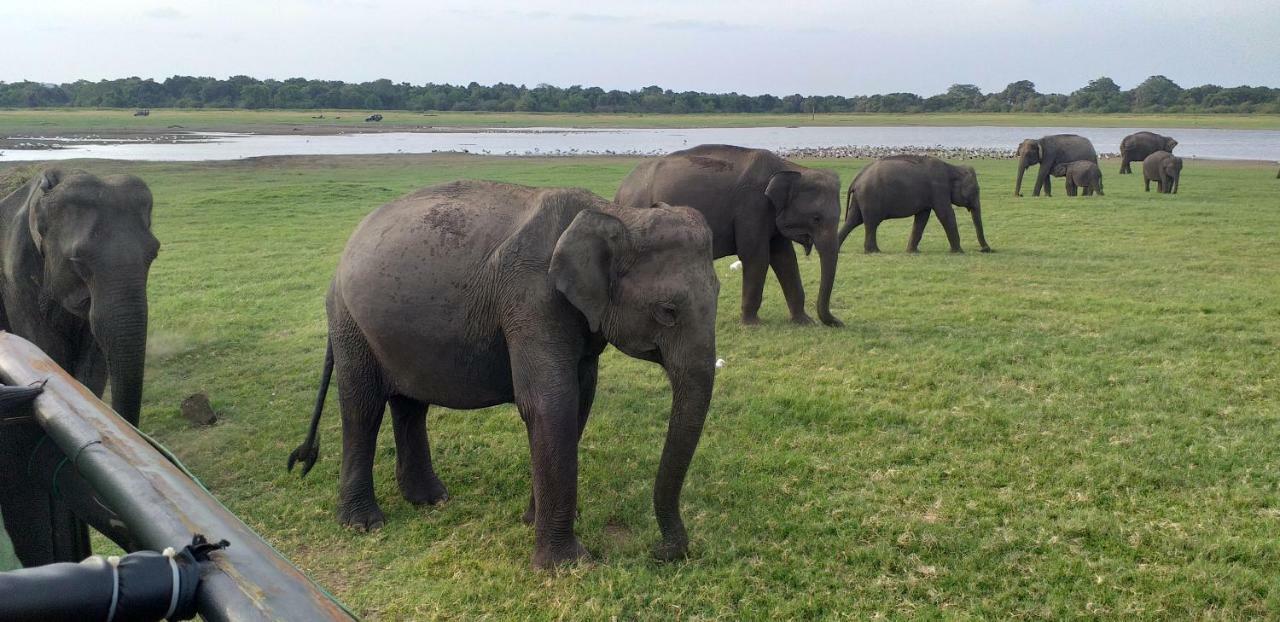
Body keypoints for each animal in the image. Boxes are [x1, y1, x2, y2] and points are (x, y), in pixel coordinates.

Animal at [291, 179, 727, 568]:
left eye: (720, 294)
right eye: (668, 311)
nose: (662, 552)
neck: (615, 214)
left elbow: (580, 401)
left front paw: (531, 521)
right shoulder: (531, 299)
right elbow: (549, 405)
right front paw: (567, 564)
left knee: (410, 404)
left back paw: (430, 500)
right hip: (349, 322)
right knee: (362, 406)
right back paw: (363, 524)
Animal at [616, 143, 844, 327]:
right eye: (816, 218)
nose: (839, 323)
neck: (790, 167)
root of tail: (621, 190)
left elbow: (785, 259)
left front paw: (804, 322)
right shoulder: (752, 206)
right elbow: (756, 257)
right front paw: (752, 324)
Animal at [839, 154, 988, 252]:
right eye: (976, 190)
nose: (986, 250)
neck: (952, 167)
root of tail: (857, 178)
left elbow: (922, 218)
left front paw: (912, 252)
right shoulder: (939, 188)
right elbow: (946, 214)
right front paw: (959, 252)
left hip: (861, 198)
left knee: (853, 220)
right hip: (870, 197)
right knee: (871, 223)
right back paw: (874, 251)